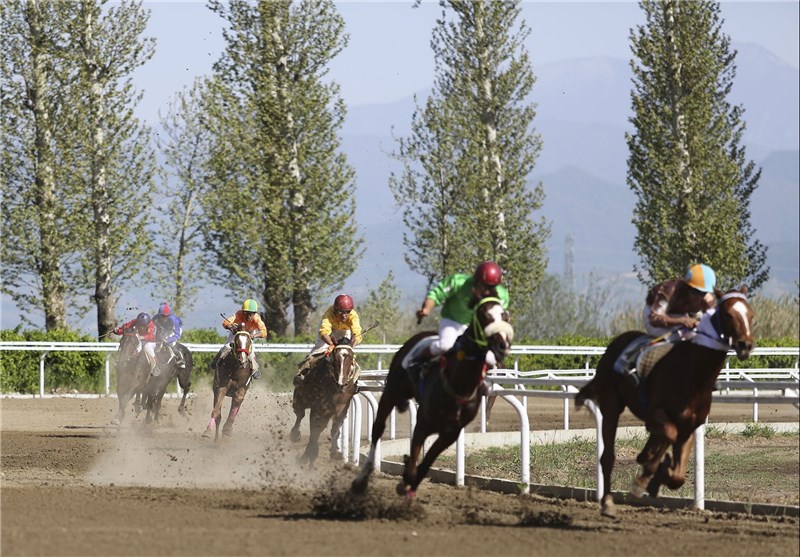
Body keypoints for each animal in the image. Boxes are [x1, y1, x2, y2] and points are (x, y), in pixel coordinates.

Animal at [354, 298, 516, 498]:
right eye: (485, 316)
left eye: (505, 316)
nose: (502, 346)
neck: (458, 385)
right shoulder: (422, 424)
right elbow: (414, 461)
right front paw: (406, 475)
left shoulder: (450, 433)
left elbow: (424, 465)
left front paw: (408, 480)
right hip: (391, 392)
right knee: (377, 429)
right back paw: (362, 479)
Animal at [576, 286, 756, 516]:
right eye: (727, 313)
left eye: (751, 315)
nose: (745, 344)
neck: (695, 376)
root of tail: (617, 343)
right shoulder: (655, 415)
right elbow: (668, 436)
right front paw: (643, 481)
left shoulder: (689, 425)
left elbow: (677, 475)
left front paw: (658, 475)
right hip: (611, 406)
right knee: (608, 457)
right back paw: (607, 502)